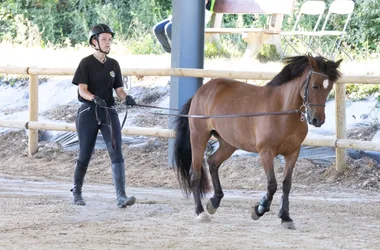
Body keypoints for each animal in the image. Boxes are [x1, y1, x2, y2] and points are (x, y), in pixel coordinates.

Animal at [172, 55, 342, 229]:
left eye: (329, 88)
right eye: (315, 86)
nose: (317, 120)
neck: (282, 111)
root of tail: (200, 92)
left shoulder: (293, 153)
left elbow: (286, 184)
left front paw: (286, 217)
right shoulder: (266, 152)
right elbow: (272, 184)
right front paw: (259, 209)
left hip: (228, 144)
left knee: (213, 162)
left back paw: (214, 202)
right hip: (199, 137)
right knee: (195, 173)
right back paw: (201, 212)